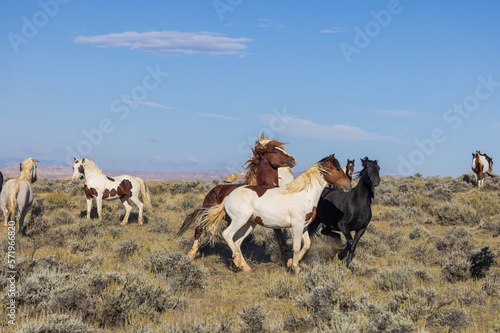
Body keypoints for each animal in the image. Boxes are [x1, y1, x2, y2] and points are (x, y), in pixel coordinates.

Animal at [197, 154, 350, 274]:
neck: (303, 194)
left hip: (249, 224)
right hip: (239, 221)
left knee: (237, 241)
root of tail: (227, 197)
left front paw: (291, 263)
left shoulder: (304, 226)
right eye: (337, 168)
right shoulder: (296, 225)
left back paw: (244, 266)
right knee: (227, 235)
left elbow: (306, 244)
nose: (348, 184)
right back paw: (237, 260)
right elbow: (296, 246)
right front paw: (295, 268)